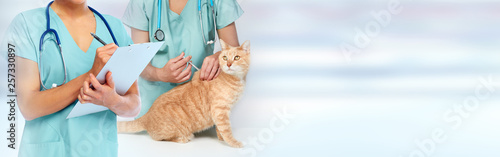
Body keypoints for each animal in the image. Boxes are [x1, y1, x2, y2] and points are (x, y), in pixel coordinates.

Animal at [117, 39, 250, 148]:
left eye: (237, 57)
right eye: (225, 58)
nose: (228, 64)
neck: (235, 79)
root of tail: (147, 115)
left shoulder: (220, 113)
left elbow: (220, 129)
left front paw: (221, 138)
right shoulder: (220, 111)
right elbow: (227, 130)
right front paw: (235, 143)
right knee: (161, 138)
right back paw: (184, 137)